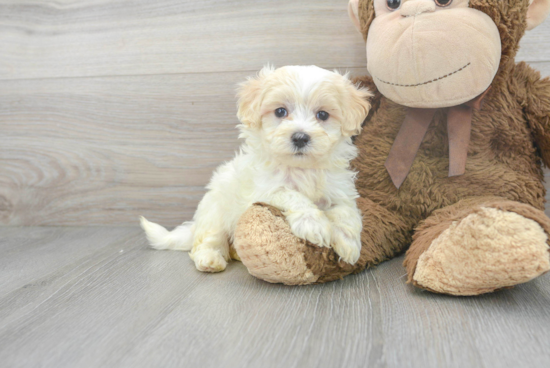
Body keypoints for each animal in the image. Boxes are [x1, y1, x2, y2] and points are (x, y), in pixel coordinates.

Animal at [140, 65, 374, 274]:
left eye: (323, 115)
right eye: (280, 111)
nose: (300, 137)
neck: (301, 169)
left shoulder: (339, 190)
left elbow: (346, 212)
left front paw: (349, 245)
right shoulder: (265, 190)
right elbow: (292, 195)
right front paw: (313, 224)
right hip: (215, 212)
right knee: (208, 241)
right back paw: (210, 259)